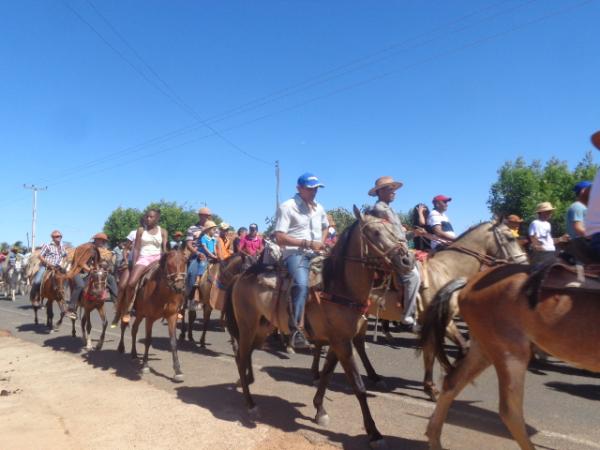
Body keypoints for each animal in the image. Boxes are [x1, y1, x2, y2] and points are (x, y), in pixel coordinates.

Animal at [115, 248, 185, 382]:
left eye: (186, 262)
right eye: (169, 264)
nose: (179, 287)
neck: (163, 293)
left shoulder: (172, 316)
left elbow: (173, 342)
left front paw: (178, 370)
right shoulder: (150, 318)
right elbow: (148, 340)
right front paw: (145, 365)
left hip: (140, 314)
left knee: (134, 329)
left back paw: (134, 354)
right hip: (126, 308)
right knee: (123, 325)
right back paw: (121, 347)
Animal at [224, 207, 412, 446]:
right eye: (376, 232)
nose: (407, 260)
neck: (339, 288)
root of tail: (241, 275)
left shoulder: (337, 342)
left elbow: (326, 375)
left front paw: (320, 410)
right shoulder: (342, 344)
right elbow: (358, 386)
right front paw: (374, 433)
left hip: (261, 329)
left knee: (245, 354)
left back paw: (246, 381)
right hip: (247, 325)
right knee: (240, 357)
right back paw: (250, 403)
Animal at [420, 260, 600, 450]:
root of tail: (469, 282)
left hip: (483, 349)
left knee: (451, 383)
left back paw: (434, 438)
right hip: (510, 353)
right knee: (509, 411)